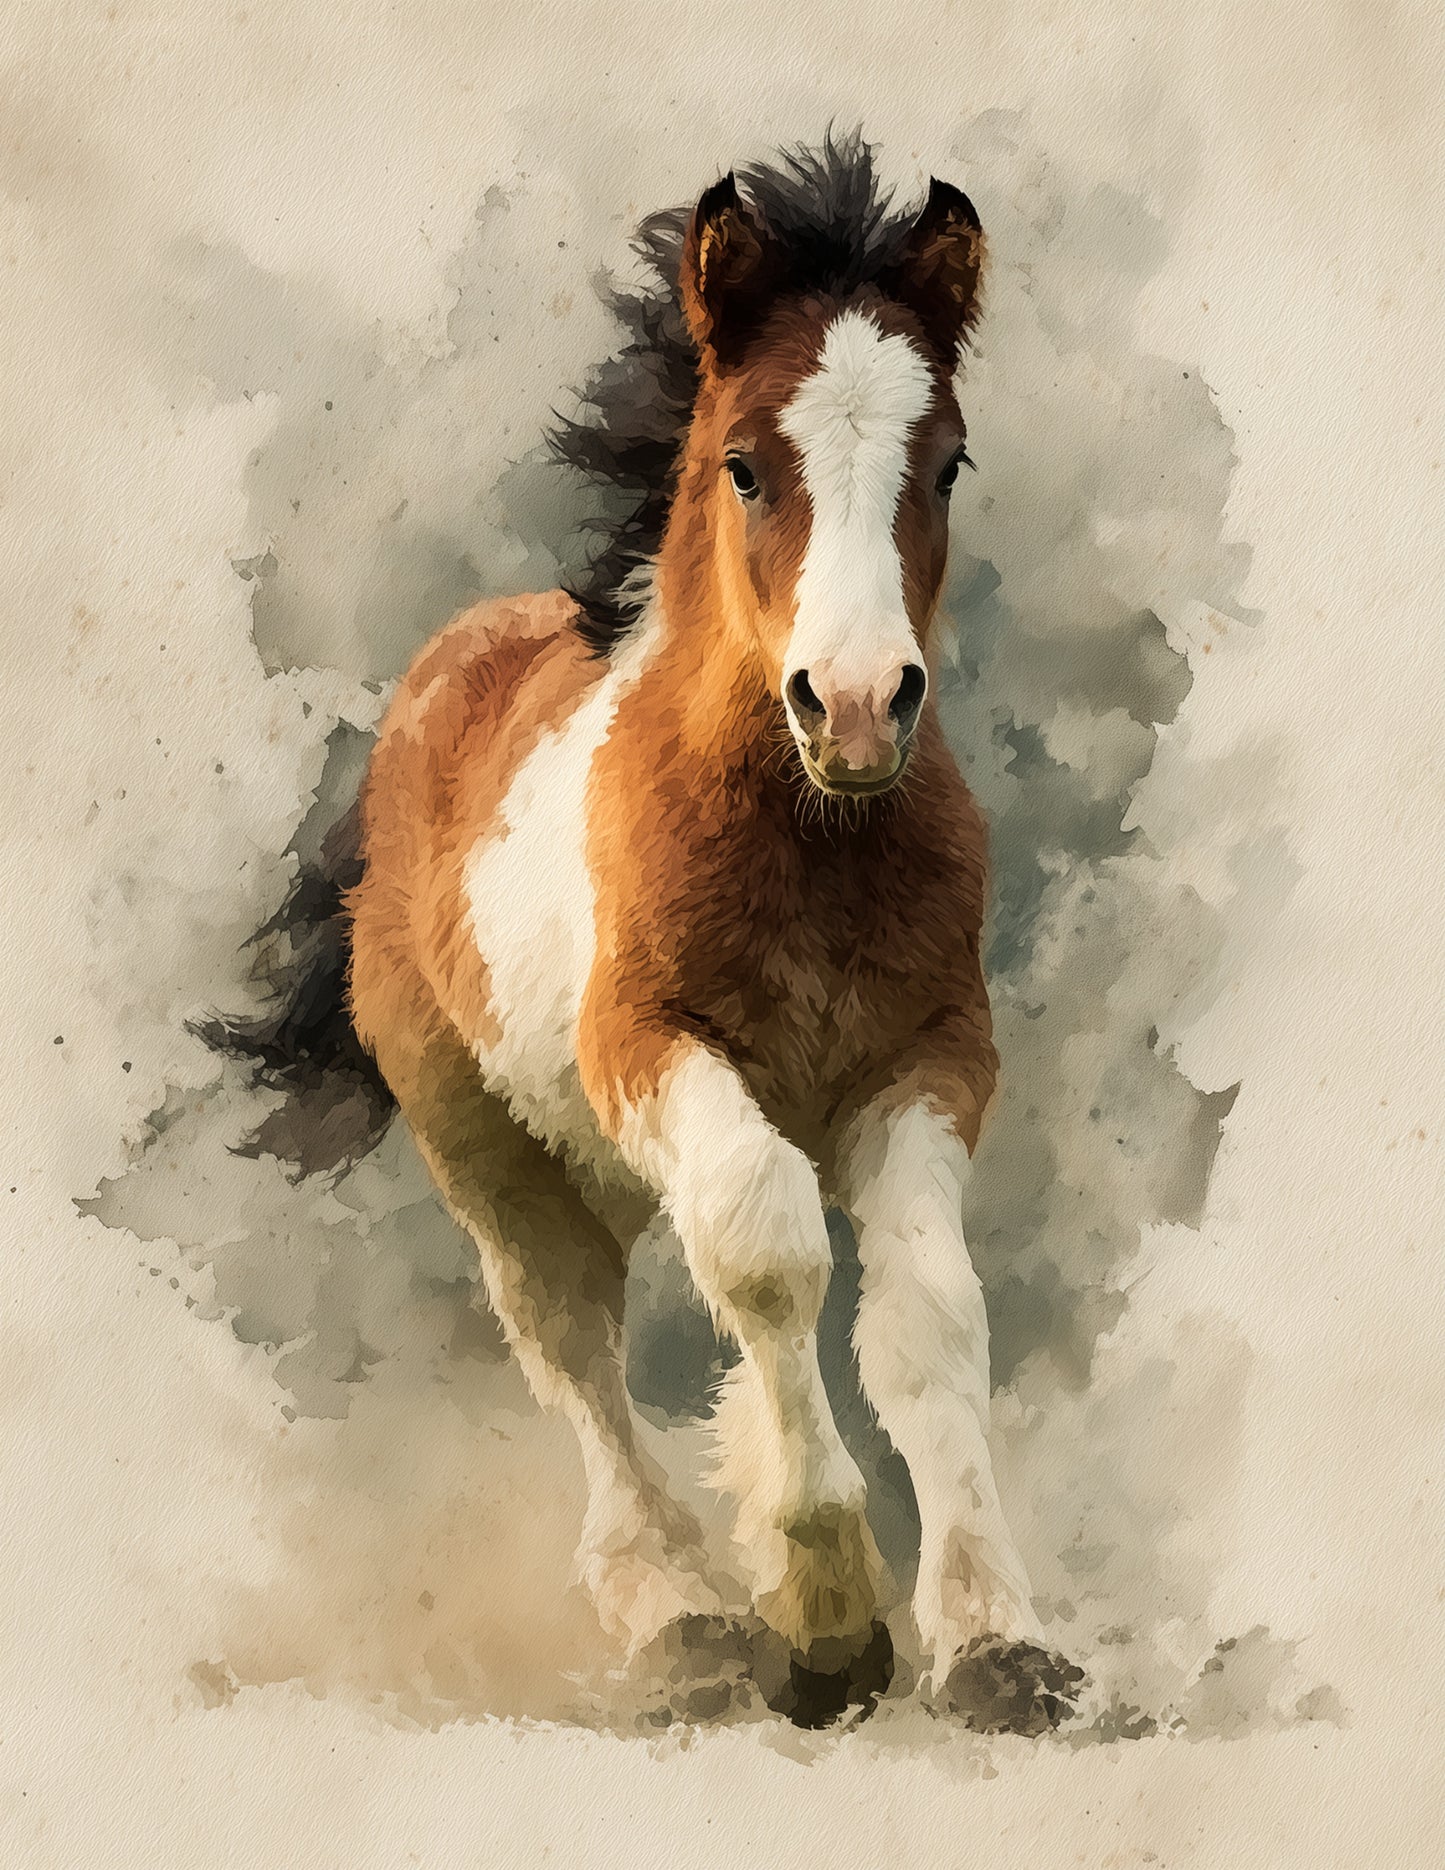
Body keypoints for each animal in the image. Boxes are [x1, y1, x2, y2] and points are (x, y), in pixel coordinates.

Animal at [208, 135, 1083, 1731]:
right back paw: (678, 1614)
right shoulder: (649, 1047)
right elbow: (765, 1250)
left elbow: (929, 1318)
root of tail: (435, 682)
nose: (857, 705)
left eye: (945, 463)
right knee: (569, 1340)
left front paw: (996, 1639)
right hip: (493, 1148)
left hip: (600, 1157)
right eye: (743, 463)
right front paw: (824, 1614)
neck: (808, 837)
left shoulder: (927, 1061)